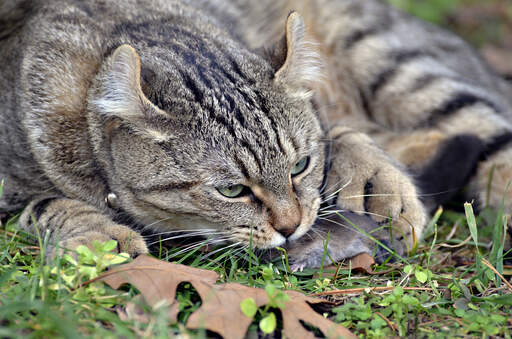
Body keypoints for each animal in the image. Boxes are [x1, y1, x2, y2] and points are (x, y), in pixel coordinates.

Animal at [0, 0, 510, 268]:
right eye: (231, 190)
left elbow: (337, 130)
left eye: (301, 165)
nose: (291, 227)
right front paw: (98, 235)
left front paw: (376, 184)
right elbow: (45, 203)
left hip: (392, 62)